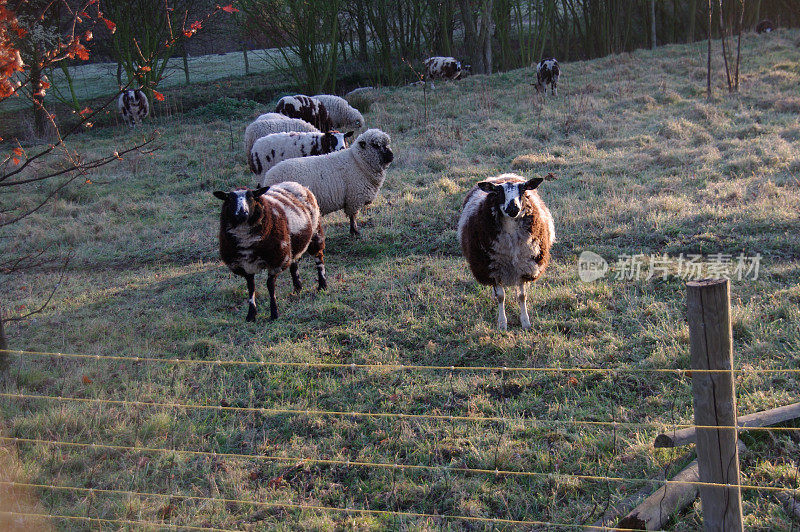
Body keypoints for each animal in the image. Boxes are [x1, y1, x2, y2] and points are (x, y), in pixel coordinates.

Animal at [212, 183, 328, 320]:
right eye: (230, 199)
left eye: (251, 197)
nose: (242, 213)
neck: (246, 241)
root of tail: (295, 184)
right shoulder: (245, 265)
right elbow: (251, 287)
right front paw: (251, 315)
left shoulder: (276, 260)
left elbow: (270, 286)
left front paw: (274, 313)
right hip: (291, 245)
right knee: (294, 264)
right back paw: (297, 288)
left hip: (315, 232)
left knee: (319, 259)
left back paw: (322, 285)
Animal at [258, 128, 392, 236]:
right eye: (375, 145)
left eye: (386, 144)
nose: (391, 156)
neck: (358, 161)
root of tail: (269, 176)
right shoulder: (354, 198)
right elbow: (353, 217)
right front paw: (355, 232)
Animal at [456, 174, 556, 328]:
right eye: (498, 192)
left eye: (523, 189)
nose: (513, 207)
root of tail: (501, 176)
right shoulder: (494, 268)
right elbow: (501, 297)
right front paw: (502, 323)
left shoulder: (524, 266)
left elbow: (522, 296)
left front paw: (525, 322)